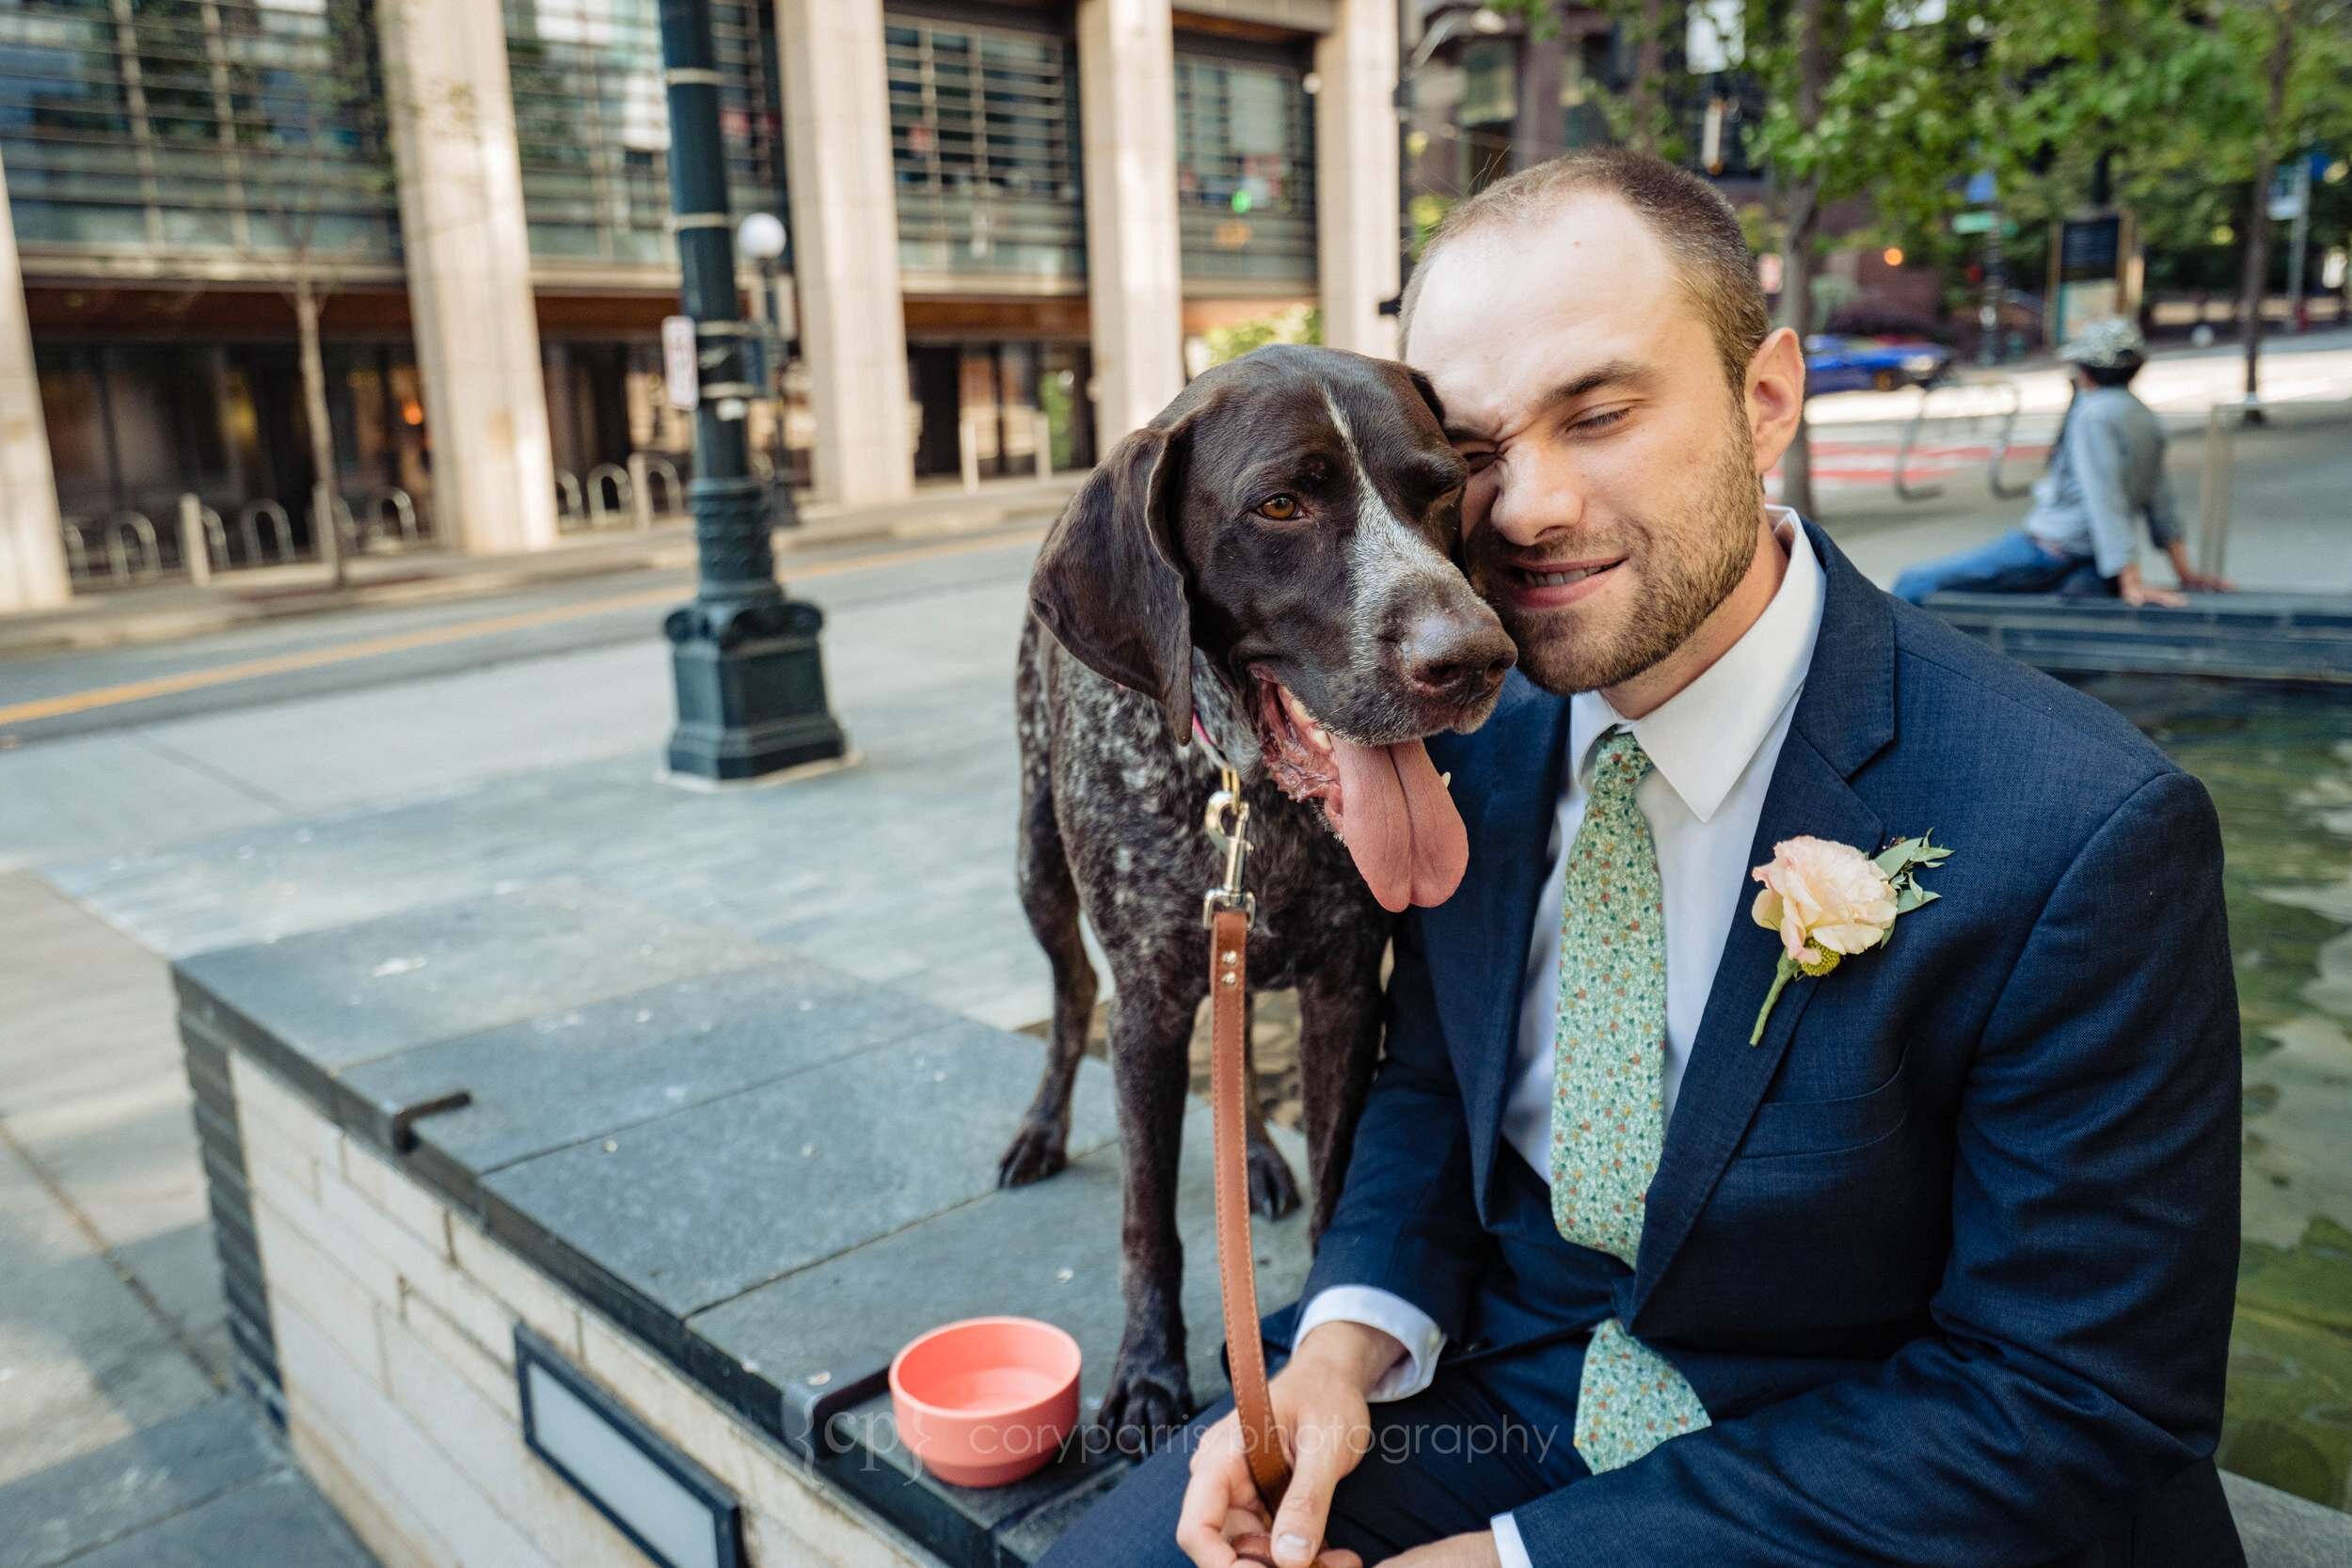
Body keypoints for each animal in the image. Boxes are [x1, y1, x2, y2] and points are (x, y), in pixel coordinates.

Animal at [1002, 345, 1515, 1457]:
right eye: (1281, 504)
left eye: (1442, 490)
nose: (1474, 658)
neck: (1251, 799)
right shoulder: (1150, 1002)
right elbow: (1149, 1219)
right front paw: (1147, 1374)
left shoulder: (1346, 986)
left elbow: (1340, 1163)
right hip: (1035, 864)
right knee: (1070, 999)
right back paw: (1041, 1128)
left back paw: (1255, 1160)